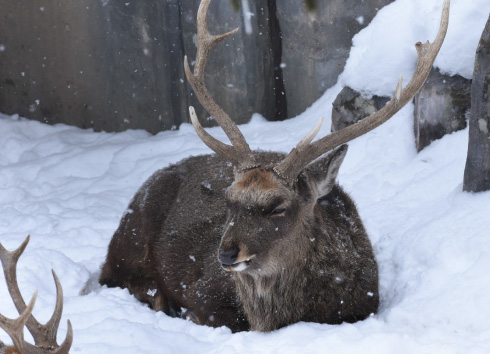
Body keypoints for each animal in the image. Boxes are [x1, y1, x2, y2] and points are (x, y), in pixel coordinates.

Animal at [97, 0, 450, 332]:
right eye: (228, 201)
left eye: (278, 207)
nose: (226, 254)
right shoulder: (203, 292)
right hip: (129, 239)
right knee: (113, 275)